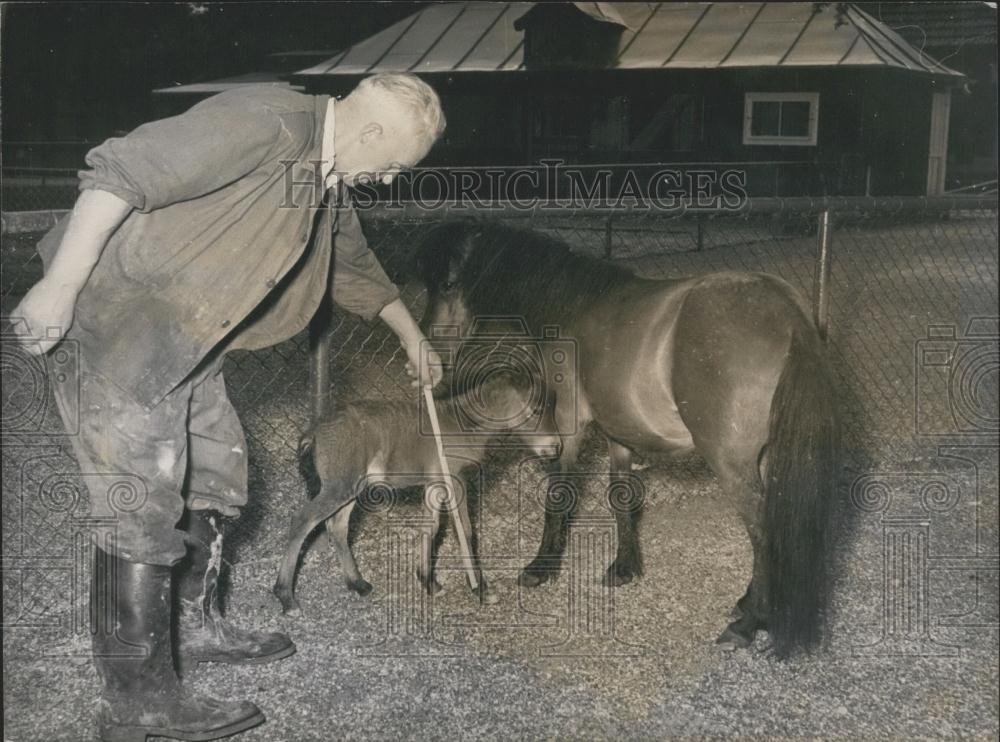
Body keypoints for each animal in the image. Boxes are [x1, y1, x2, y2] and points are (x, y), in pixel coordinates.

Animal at [410, 219, 840, 656]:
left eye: (447, 283)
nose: (427, 352)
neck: (573, 306)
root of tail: (790, 318)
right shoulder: (619, 432)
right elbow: (621, 499)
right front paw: (623, 567)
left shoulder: (568, 424)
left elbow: (558, 495)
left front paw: (539, 568)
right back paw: (746, 604)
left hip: (732, 464)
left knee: (762, 530)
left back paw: (749, 622)